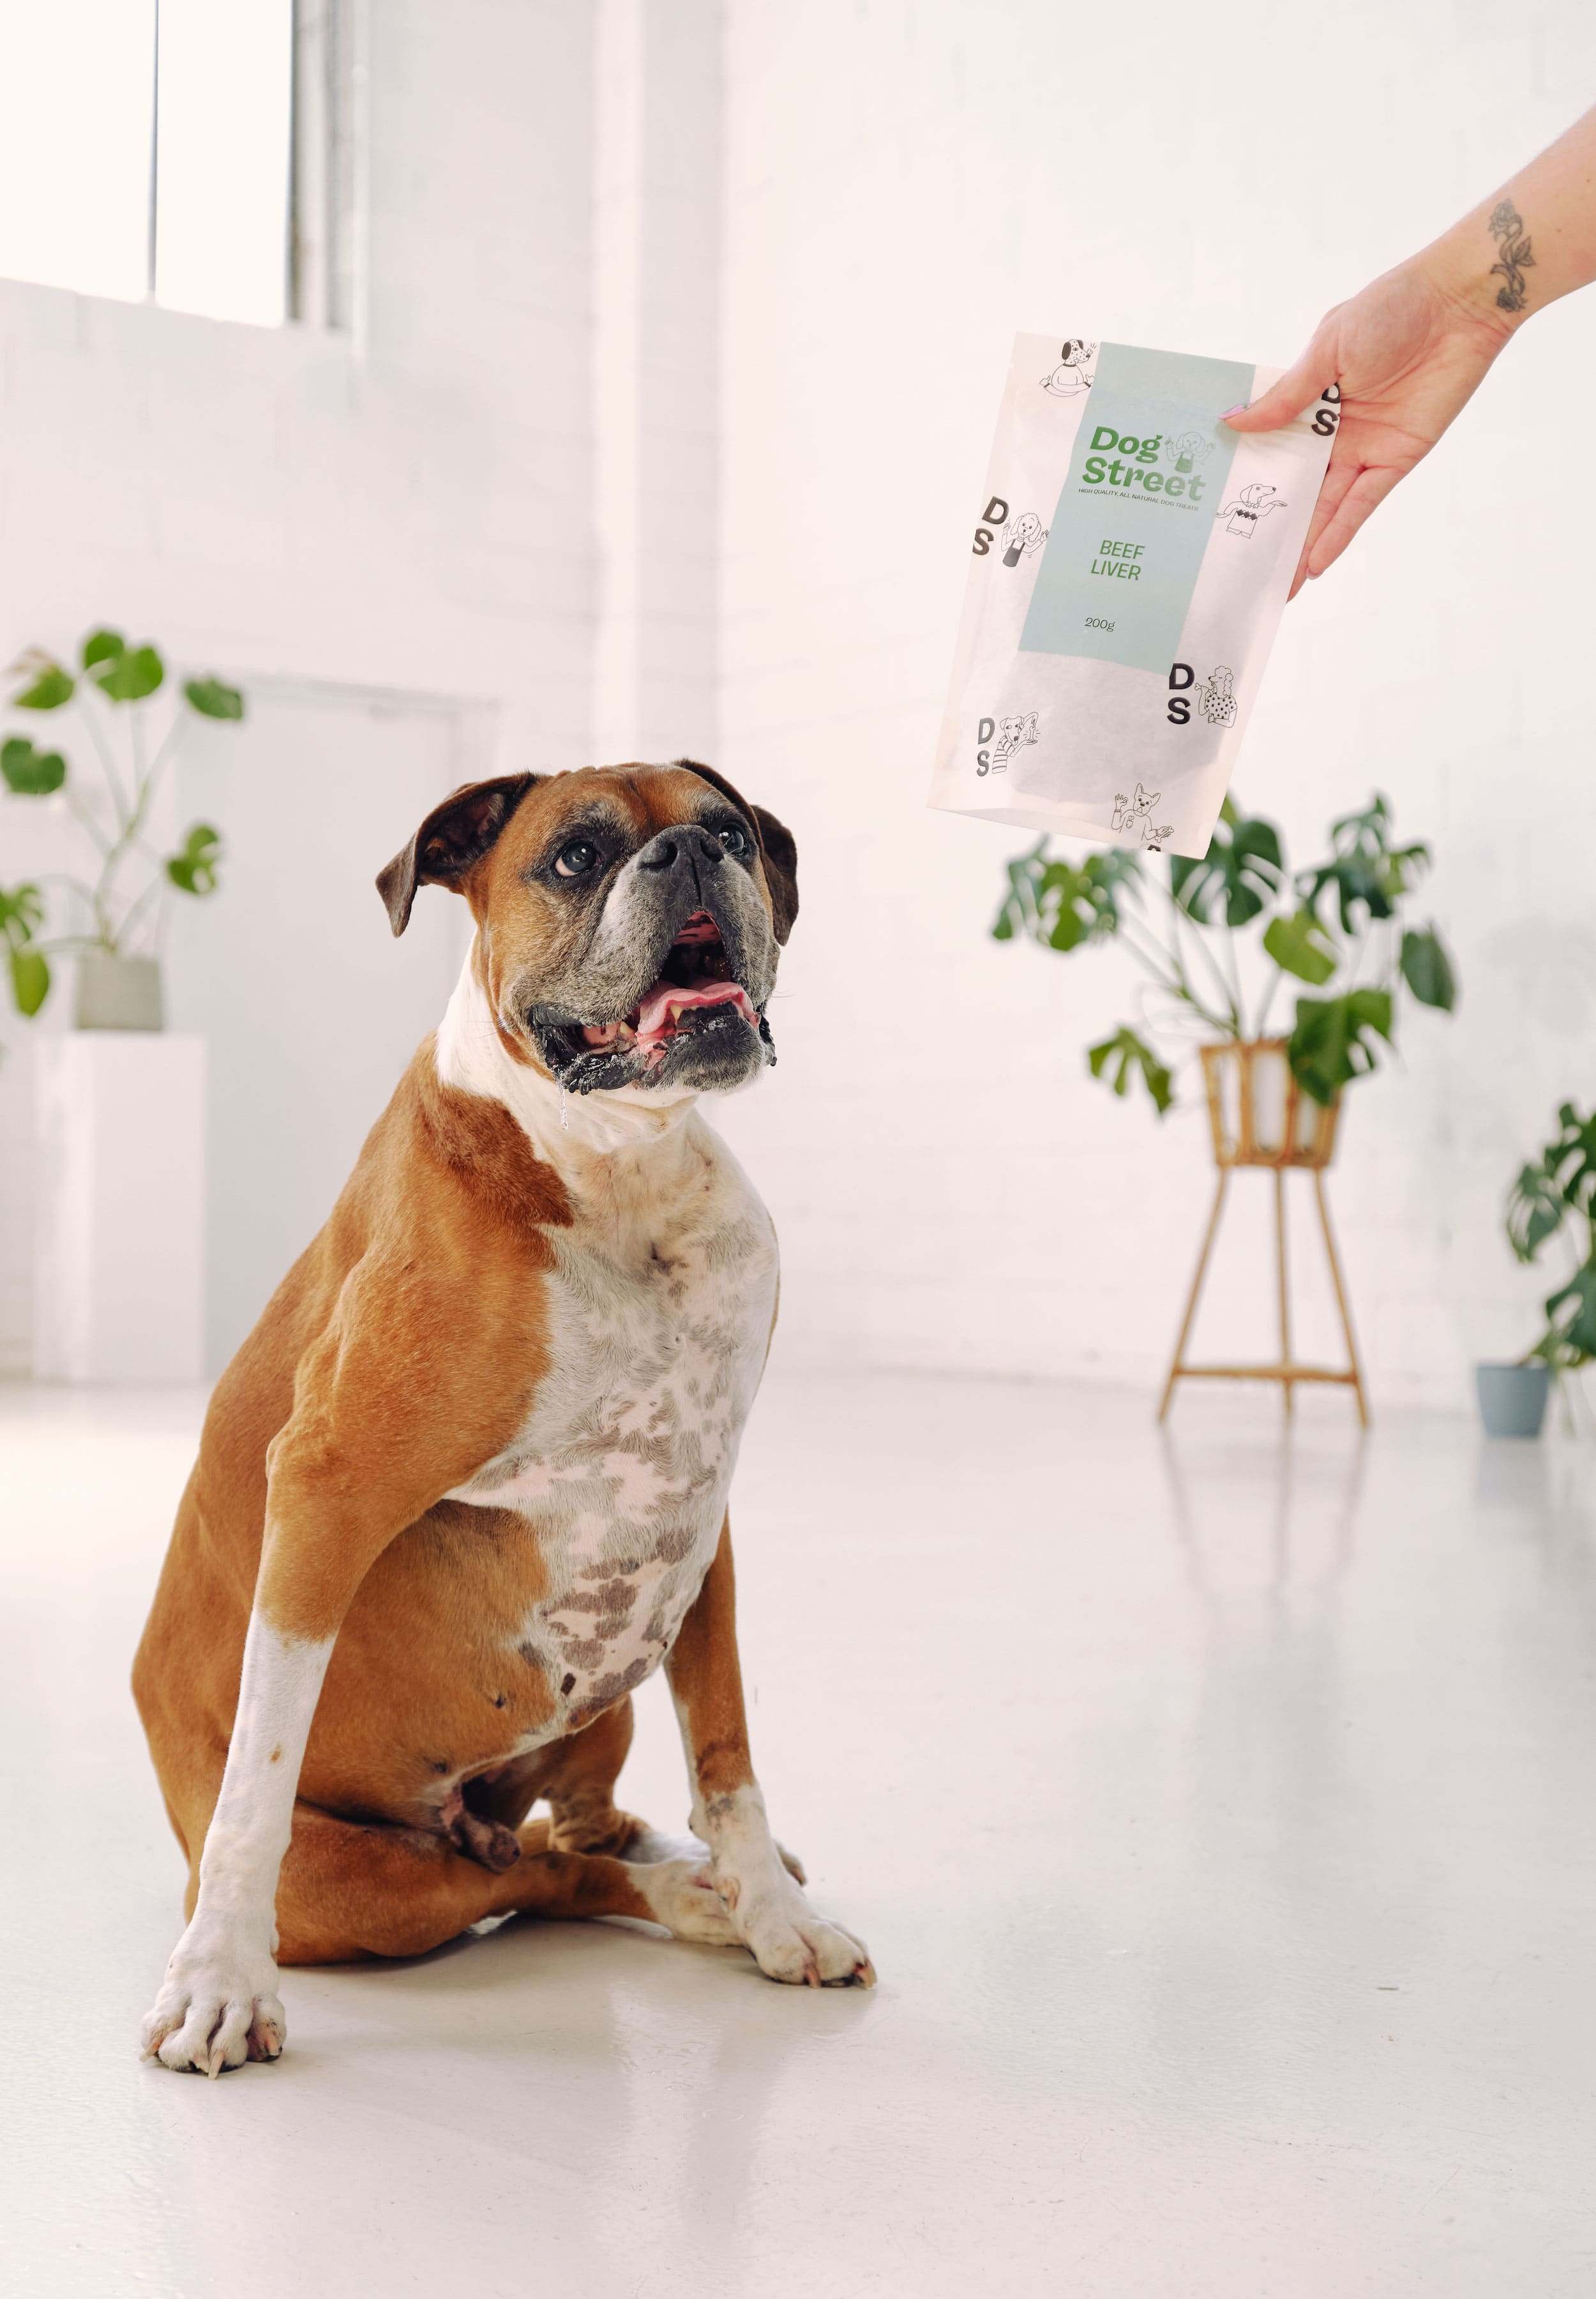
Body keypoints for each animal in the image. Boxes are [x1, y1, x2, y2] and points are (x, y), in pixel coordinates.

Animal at [134, 758, 873, 2087]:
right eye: (575, 857)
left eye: (731, 832)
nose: (691, 853)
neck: (618, 1165)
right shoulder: (324, 1488)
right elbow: (261, 1771)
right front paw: (218, 1979)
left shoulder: (701, 1514)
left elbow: (729, 1756)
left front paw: (777, 1914)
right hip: (377, 1892)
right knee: (535, 1878)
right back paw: (688, 1902)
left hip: (613, 1692)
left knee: (581, 1833)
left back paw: (711, 1883)